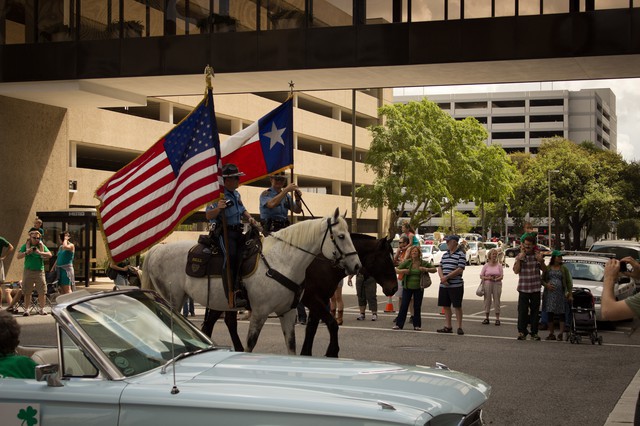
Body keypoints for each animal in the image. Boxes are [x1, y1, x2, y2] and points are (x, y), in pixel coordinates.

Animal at [143, 209, 362, 352]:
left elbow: (291, 346)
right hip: (173, 299)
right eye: (341, 236)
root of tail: (156, 250)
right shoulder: (259, 312)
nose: (357, 266)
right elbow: (251, 344)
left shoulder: (288, 312)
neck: (282, 261)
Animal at [202, 235, 398, 358]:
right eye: (386, 259)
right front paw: (332, 351)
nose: (394, 288)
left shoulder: (320, 300)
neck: (323, 263)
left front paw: (306, 353)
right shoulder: (313, 299)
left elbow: (312, 328)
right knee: (214, 322)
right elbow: (332, 324)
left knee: (226, 322)